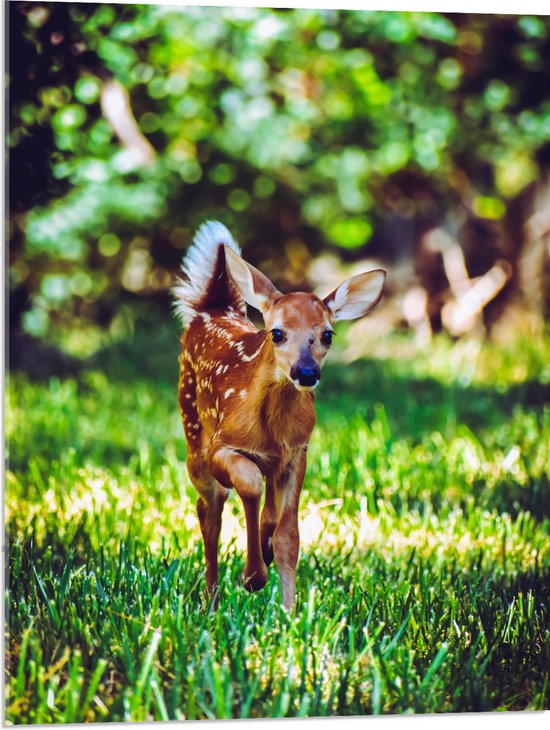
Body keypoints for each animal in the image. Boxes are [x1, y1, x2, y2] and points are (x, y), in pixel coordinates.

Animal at [175, 220, 386, 608]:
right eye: (276, 333)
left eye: (328, 335)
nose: (306, 372)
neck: (271, 432)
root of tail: (212, 309)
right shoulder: (220, 447)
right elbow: (248, 483)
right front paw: (253, 577)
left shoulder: (297, 454)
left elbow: (290, 536)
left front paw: (288, 611)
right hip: (193, 435)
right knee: (209, 509)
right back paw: (211, 600)